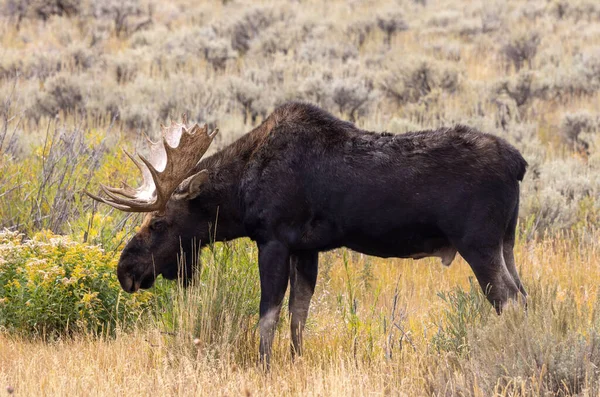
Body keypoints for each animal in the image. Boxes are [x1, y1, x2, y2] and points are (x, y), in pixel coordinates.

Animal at [86, 102, 528, 366]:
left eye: (160, 223)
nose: (126, 270)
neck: (239, 194)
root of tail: (519, 163)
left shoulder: (274, 241)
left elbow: (268, 315)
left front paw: (263, 367)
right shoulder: (307, 249)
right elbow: (299, 314)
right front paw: (295, 360)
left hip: (478, 244)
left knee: (509, 301)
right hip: (506, 243)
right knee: (525, 296)